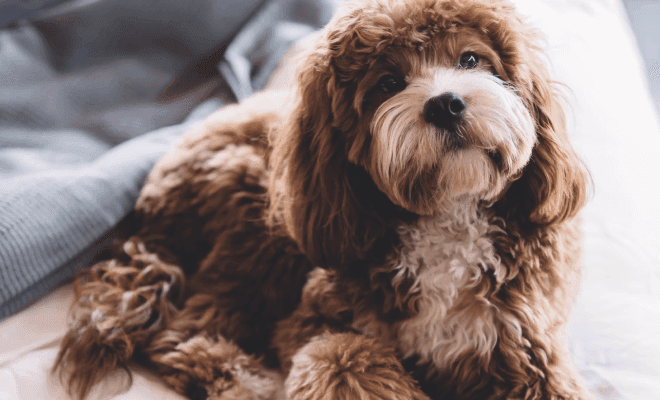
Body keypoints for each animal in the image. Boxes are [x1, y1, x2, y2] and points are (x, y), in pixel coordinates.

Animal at [55, 0, 592, 398]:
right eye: (387, 84)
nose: (445, 104)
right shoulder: (315, 317)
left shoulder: (525, 346)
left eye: (471, 60)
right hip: (261, 220)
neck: (448, 214)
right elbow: (340, 357)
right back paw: (246, 382)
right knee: (183, 330)